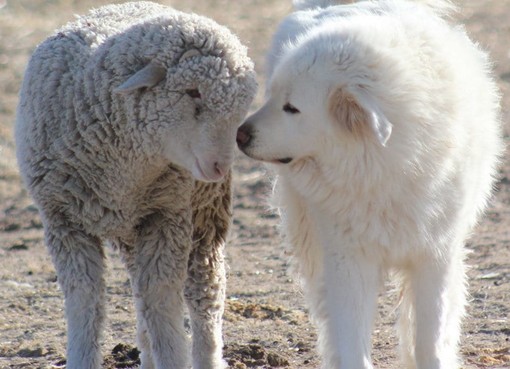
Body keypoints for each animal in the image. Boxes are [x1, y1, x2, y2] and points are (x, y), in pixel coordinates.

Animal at [14, 1, 256, 366]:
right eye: (192, 91)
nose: (219, 166)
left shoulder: (167, 215)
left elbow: (162, 298)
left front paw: (173, 356)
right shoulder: (64, 222)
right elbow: (85, 299)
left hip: (203, 216)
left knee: (204, 294)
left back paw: (205, 355)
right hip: (132, 226)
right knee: (140, 291)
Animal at [237, 0, 504, 368]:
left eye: (291, 108)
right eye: (271, 96)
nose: (239, 135)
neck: (386, 168)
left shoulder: (433, 255)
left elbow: (429, 339)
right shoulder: (347, 259)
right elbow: (351, 339)